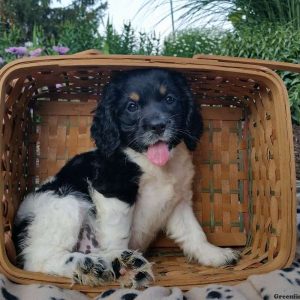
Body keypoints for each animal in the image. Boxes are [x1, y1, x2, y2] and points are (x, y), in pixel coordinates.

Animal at [12, 68, 240, 288]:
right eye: (132, 106)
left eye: (170, 99)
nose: (157, 126)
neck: (150, 164)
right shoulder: (113, 192)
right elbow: (118, 234)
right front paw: (122, 264)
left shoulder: (179, 201)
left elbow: (193, 231)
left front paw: (214, 254)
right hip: (65, 202)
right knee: (38, 260)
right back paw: (90, 265)